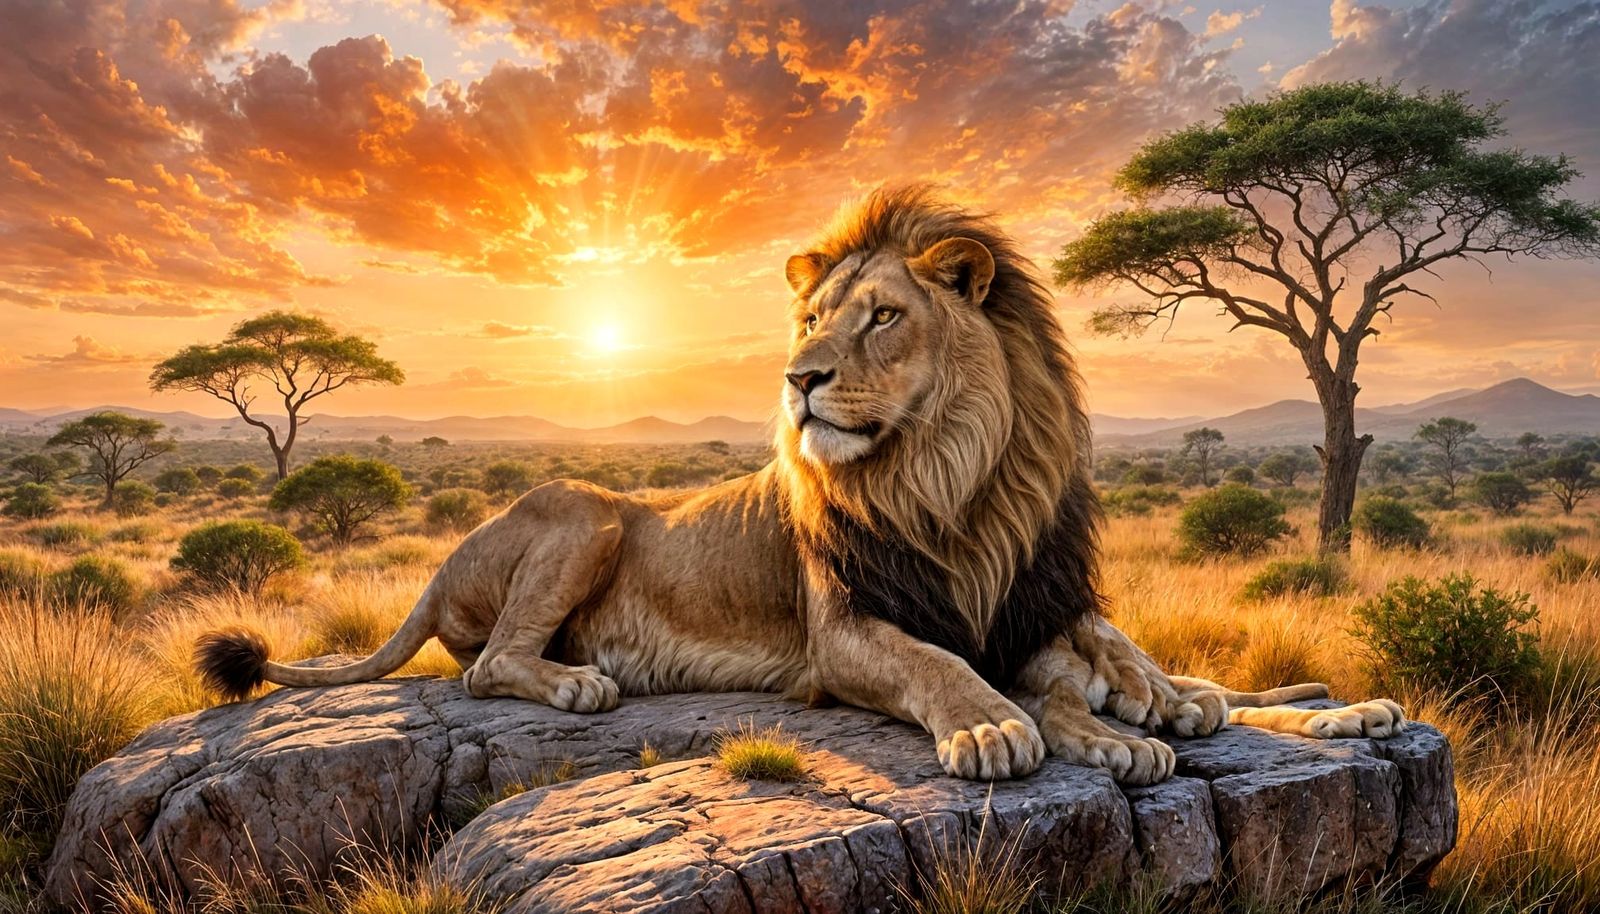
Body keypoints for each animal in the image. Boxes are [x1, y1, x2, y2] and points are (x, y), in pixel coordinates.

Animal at [198, 185, 1404, 785]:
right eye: (812, 320)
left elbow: (1081, 663)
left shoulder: (1025, 599)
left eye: (881, 317)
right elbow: (945, 670)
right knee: (492, 662)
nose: (798, 377)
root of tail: (442, 564)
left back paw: (1304, 706)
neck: (942, 480)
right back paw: (583, 683)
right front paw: (999, 730)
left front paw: (1123, 719)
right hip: (583, 512)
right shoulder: (845, 633)